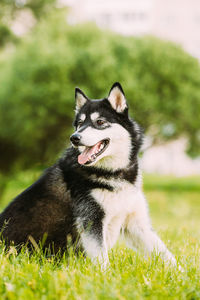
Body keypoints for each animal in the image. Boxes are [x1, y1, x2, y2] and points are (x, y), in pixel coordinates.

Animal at [0, 82, 175, 268]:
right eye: (79, 123)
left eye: (100, 122)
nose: (74, 138)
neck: (113, 173)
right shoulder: (92, 222)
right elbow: (102, 259)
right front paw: (106, 275)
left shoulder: (137, 224)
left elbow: (166, 255)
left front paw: (181, 272)